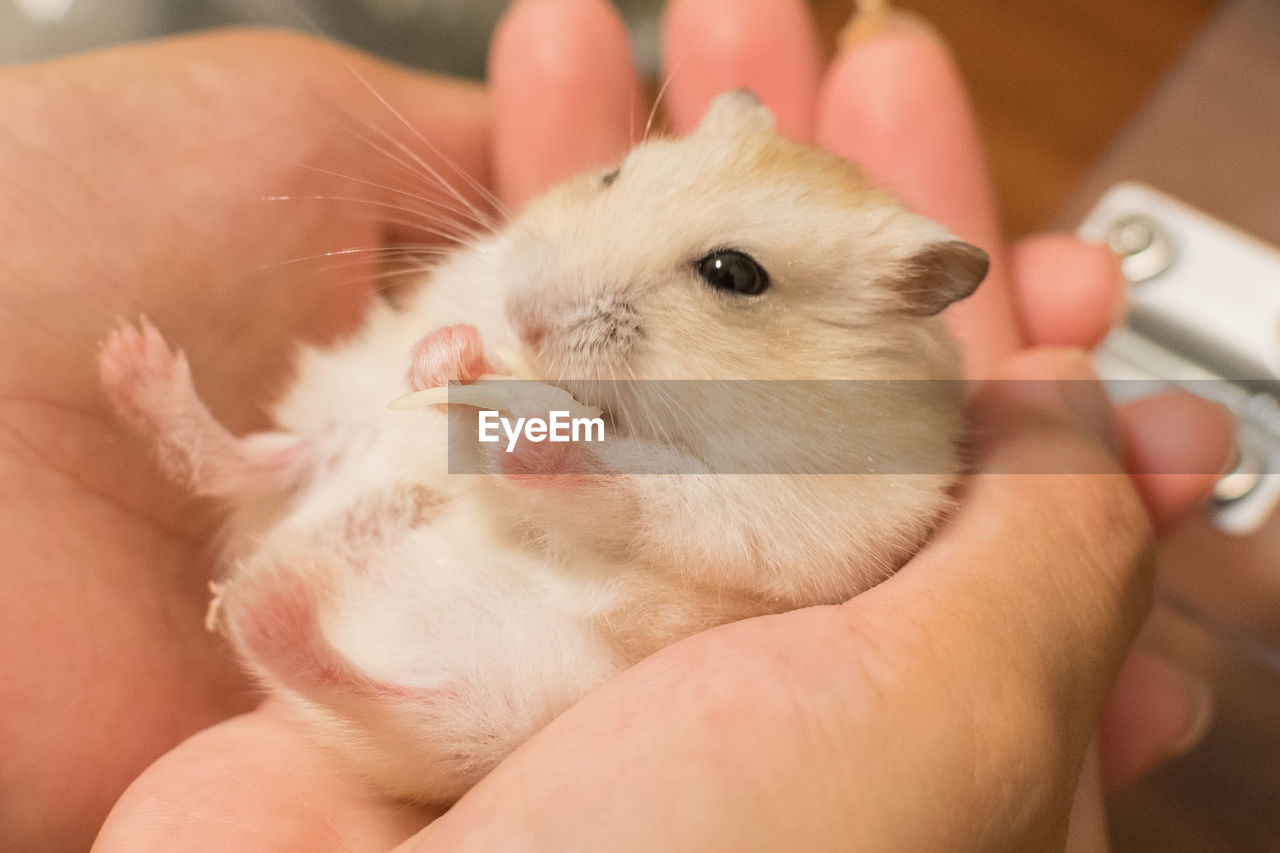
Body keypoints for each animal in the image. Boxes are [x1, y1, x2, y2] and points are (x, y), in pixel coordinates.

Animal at [97, 89, 988, 799]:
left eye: (734, 274)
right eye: (613, 176)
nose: (520, 314)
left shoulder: (782, 513)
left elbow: (630, 490)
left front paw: (522, 425)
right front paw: (451, 356)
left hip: (489, 702)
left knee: (369, 688)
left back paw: (269, 596)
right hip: (346, 417)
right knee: (259, 462)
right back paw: (132, 365)